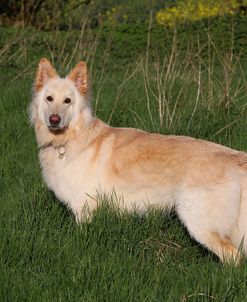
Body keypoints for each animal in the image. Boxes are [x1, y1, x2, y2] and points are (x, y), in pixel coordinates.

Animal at [30, 57, 247, 264]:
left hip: (199, 222)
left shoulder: (84, 207)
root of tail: (236, 157)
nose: (54, 119)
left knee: (234, 258)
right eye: (49, 98)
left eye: (67, 101)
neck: (70, 138)